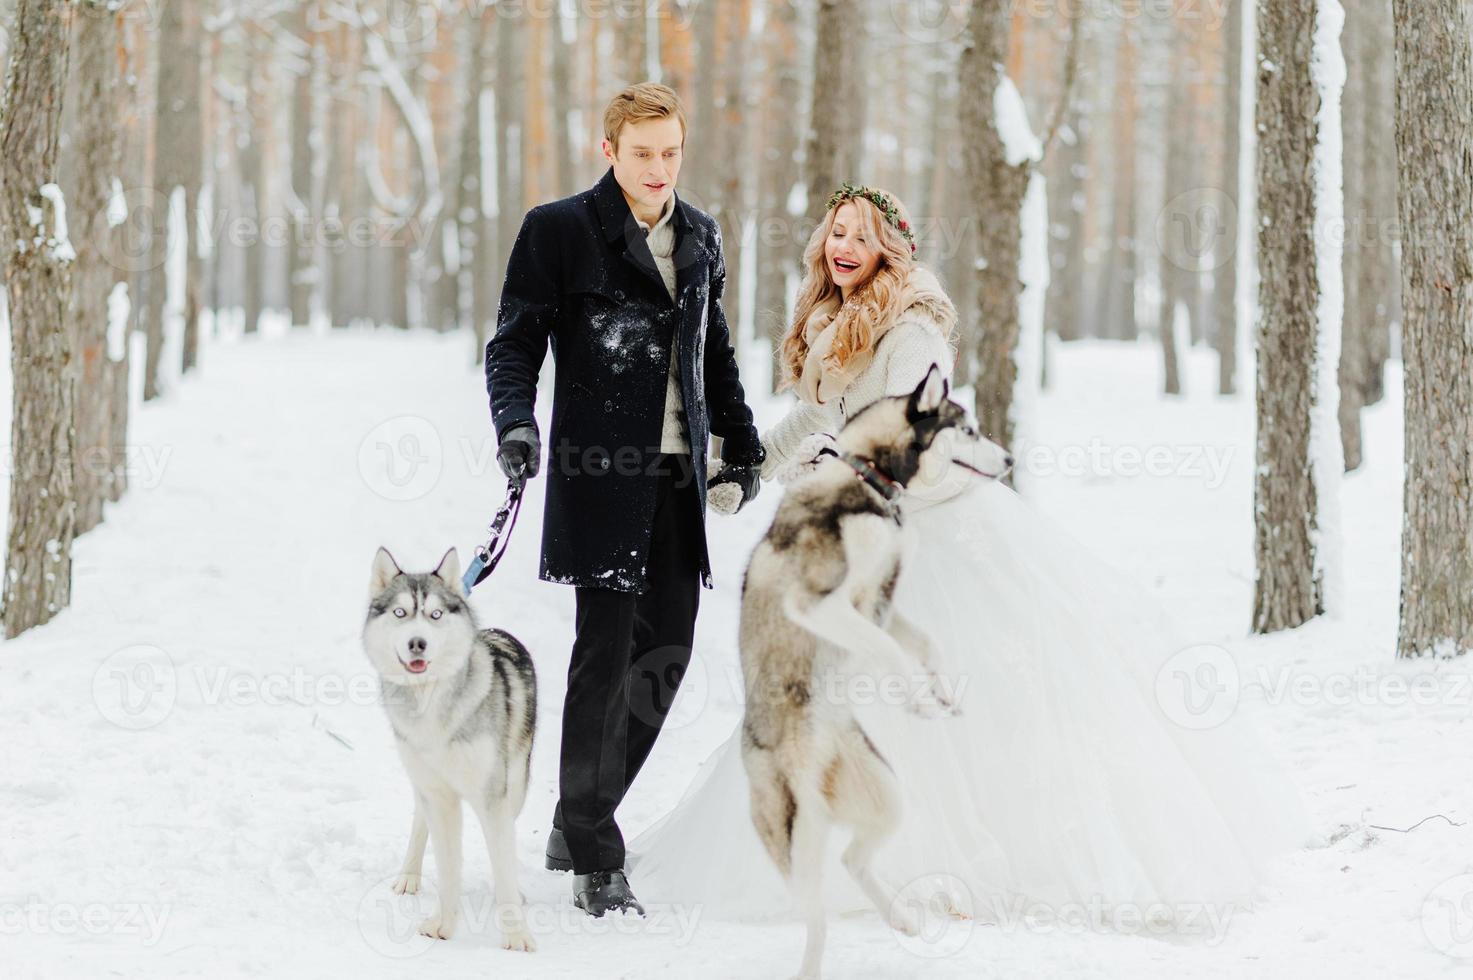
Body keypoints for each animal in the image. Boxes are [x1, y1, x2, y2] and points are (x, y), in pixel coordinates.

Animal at [360, 542, 536, 949]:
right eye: (401, 613)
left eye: (435, 614)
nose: (418, 643)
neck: (430, 702)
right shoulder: (437, 794)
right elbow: (447, 864)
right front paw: (443, 923)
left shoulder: (493, 795)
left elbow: (502, 865)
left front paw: (516, 934)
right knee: (419, 820)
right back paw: (409, 874)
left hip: (516, 786)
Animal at [742, 365, 1007, 978]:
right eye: (969, 430)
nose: (1009, 460)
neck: (868, 475)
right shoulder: (820, 605)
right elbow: (890, 651)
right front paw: (917, 699)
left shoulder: (880, 601)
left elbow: (922, 643)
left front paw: (940, 692)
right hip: (795, 842)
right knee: (815, 919)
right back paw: (813, 966)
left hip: (887, 797)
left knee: (852, 857)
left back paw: (902, 917)